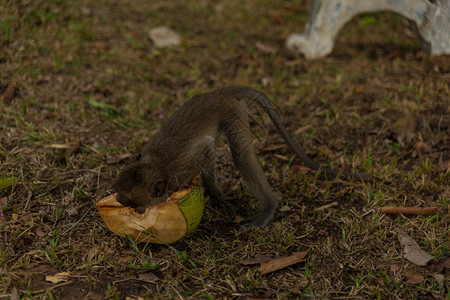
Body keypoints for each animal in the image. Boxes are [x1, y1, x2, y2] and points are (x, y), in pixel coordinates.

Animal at [110, 86, 368, 227]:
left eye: (132, 202)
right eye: (119, 194)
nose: (119, 201)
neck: (157, 166)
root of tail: (217, 94)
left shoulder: (181, 170)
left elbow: (207, 147)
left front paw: (214, 193)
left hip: (233, 112)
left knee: (241, 154)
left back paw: (269, 207)